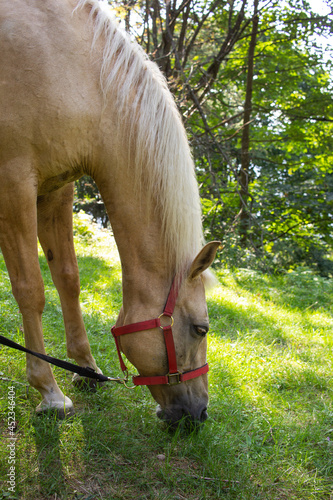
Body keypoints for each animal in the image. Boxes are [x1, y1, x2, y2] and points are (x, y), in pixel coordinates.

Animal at [0, 0, 219, 426]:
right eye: (201, 329)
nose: (200, 414)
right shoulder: (13, 185)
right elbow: (30, 289)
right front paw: (49, 391)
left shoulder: (55, 189)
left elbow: (67, 278)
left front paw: (87, 368)